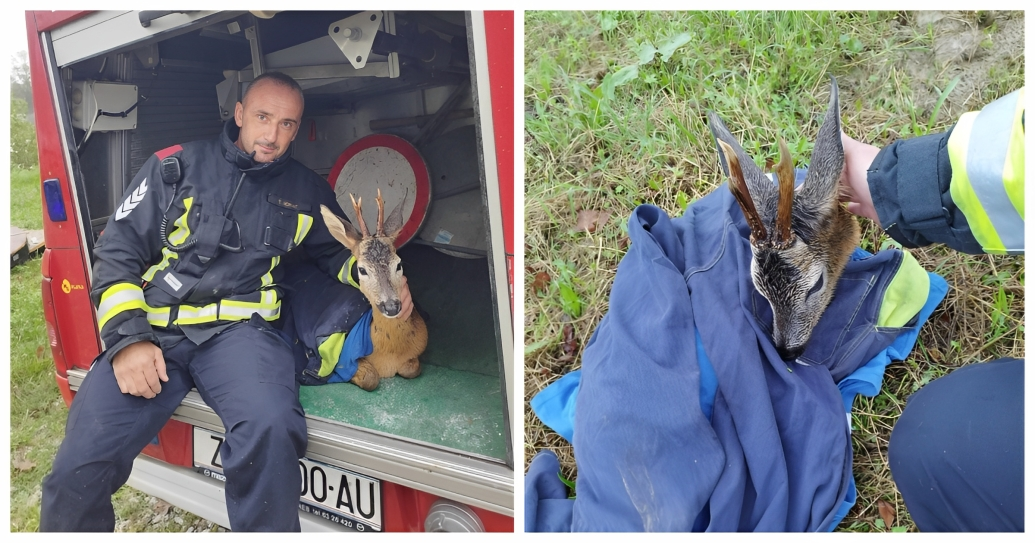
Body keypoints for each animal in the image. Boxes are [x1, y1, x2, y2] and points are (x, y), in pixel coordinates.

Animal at [316, 190, 426, 388]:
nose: (391, 307)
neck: (389, 355)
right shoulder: (343, 360)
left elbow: (412, 369)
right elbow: (370, 378)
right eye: (361, 270)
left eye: (399, 264)